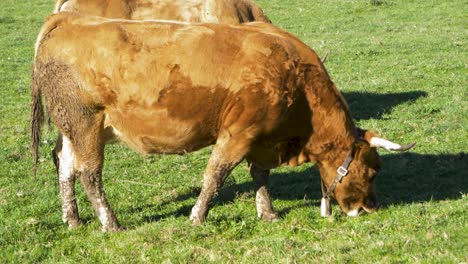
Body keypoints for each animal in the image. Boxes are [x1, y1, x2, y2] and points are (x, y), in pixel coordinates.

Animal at [31, 12, 414, 231]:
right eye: (373, 169)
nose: (368, 208)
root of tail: (71, 20)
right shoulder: (238, 133)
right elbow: (215, 176)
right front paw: (197, 217)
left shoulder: (262, 139)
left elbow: (260, 176)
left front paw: (267, 213)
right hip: (86, 124)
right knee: (89, 175)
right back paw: (110, 224)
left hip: (72, 129)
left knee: (65, 167)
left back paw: (73, 219)